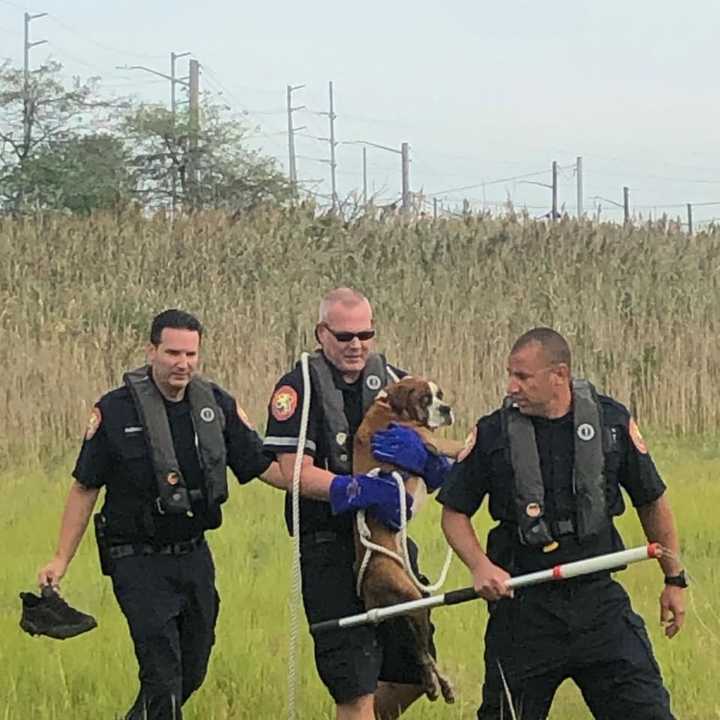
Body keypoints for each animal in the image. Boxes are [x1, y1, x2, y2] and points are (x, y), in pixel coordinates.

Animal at [352, 376, 464, 704]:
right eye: (426, 399)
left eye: (439, 395)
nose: (446, 408)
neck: (390, 406)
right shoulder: (428, 439)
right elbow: (455, 445)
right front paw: (471, 441)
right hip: (411, 601)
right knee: (422, 653)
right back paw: (433, 684)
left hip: (414, 609)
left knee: (420, 649)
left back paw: (439, 685)